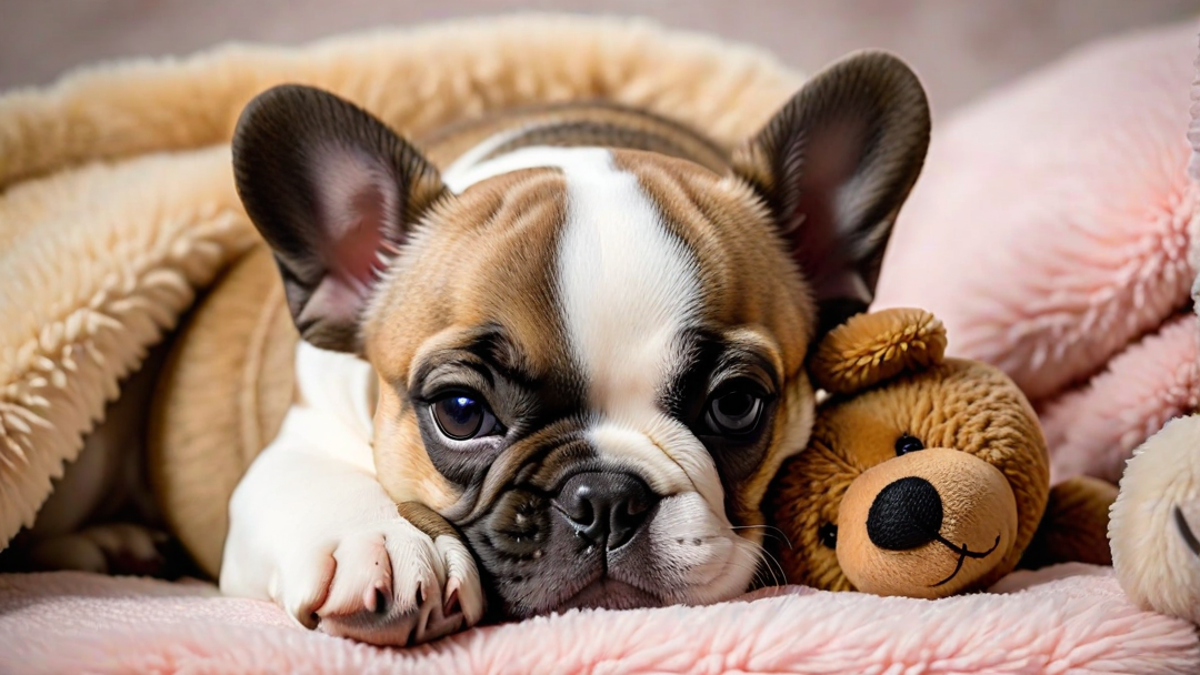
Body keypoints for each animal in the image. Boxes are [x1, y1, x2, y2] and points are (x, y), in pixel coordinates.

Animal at [56, 48, 931, 638]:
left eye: (737, 403)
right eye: (460, 410)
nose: (604, 496)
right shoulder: (292, 442)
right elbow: (322, 483)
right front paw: (383, 542)